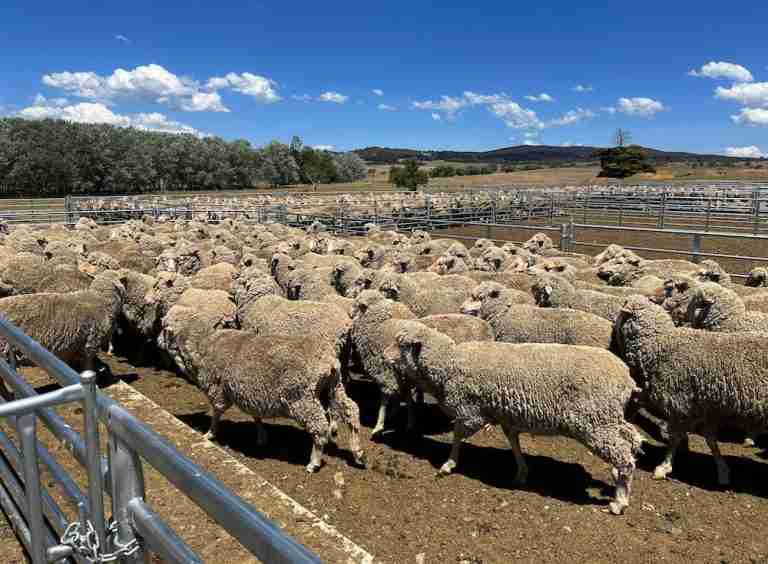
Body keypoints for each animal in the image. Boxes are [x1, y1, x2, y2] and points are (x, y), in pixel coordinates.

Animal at [388, 321, 642, 515]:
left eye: (401, 345)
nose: (383, 355)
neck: (448, 363)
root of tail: (626, 378)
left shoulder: (470, 412)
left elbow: (457, 436)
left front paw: (448, 464)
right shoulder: (506, 415)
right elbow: (513, 442)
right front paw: (521, 473)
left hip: (595, 422)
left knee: (624, 455)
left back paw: (620, 501)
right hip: (609, 418)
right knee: (632, 439)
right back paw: (616, 477)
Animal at [612, 295, 768, 487]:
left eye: (621, 313)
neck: (661, 345)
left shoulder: (679, 403)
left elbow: (675, 438)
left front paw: (663, 467)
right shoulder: (707, 407)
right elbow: (710, 440)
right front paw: (723, 470)